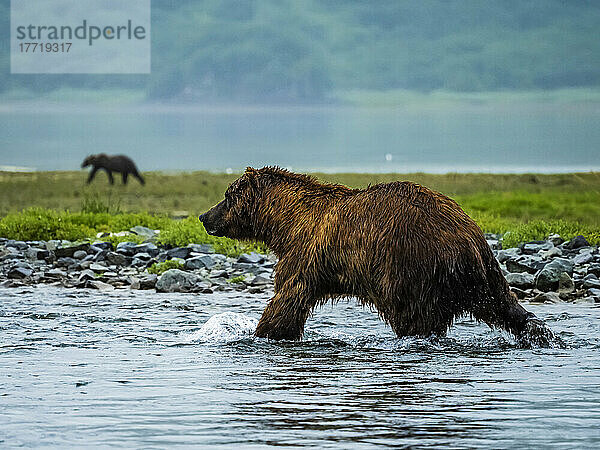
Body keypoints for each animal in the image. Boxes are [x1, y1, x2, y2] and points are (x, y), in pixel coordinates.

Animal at [199, 167, 556, 346]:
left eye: (227, 195)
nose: (204, 216)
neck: (285, 222)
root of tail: (466, 238)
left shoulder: (305, 254)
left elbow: (287, 299)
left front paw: (259, 333)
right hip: (485, 274)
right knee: (506, 307)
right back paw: (543, 335)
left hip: (411, 269)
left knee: (415, 319)